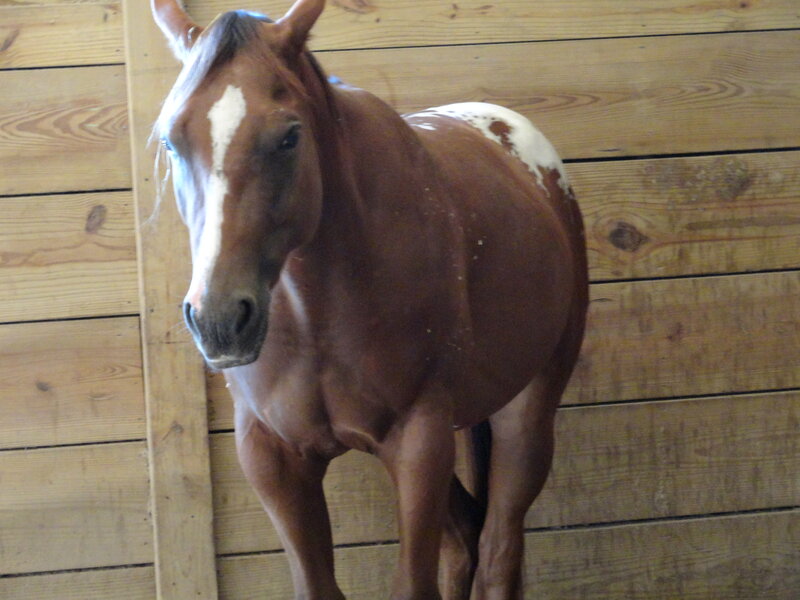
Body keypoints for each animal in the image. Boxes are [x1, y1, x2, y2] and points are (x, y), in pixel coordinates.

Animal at [151, 1, 588, 598]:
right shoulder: (272, 457)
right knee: (466, 537)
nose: (218, 319)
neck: (318, 314)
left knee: (499, 550)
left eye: (289, 137)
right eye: (171, 141)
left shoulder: (418, 444)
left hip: (527, 415)